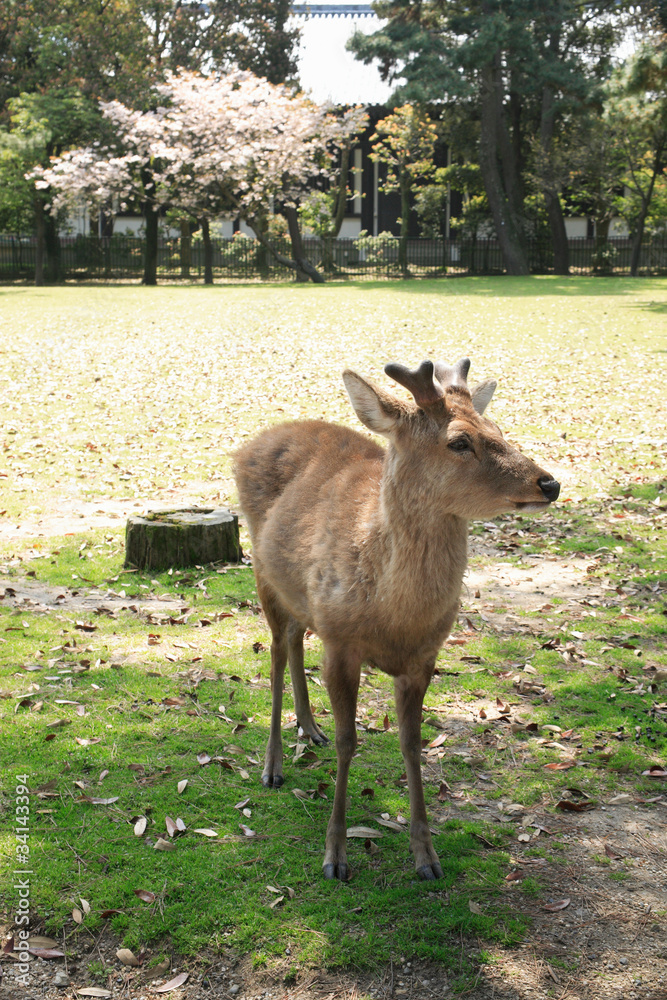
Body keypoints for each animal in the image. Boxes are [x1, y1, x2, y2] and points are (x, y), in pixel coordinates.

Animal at [233, 357, 560, 882]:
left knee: (297, 640)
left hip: (301, 597)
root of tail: (249, 444)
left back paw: (309, 727)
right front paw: (335, 856)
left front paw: (426, 856)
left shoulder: (424, 656)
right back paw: (273, 765)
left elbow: (412, 743)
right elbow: (349, 741)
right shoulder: (341, 643)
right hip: (263, 574)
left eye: (498, 429)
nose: (549, 483)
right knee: (278, 656)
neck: (395, 616)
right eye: (459, 441)